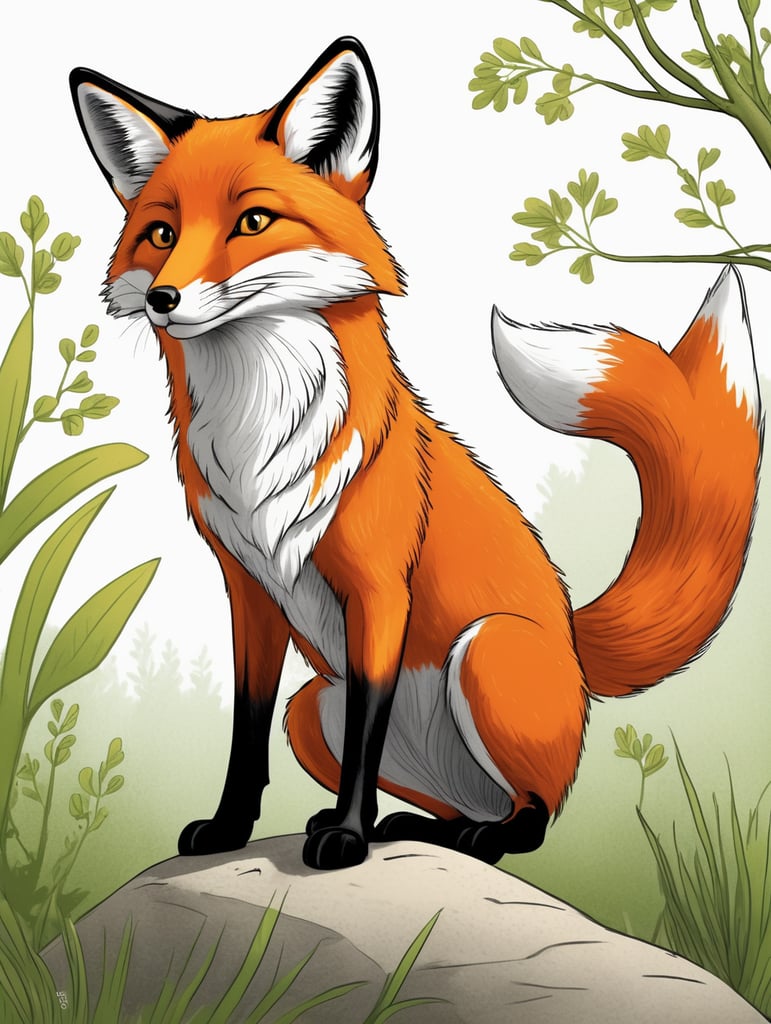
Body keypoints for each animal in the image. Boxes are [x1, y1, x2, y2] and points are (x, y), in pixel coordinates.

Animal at [69, 37, 761, 871]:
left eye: (253, 220)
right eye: (161, 234)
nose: (162, 300)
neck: (258, 429)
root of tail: (572, 642)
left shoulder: (378, 587)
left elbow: (369, 719)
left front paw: (344, 836)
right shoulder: (248, 592)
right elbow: (245, 729)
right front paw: (232, 828)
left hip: (485, 653)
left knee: (529, 818)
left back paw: (462, 833)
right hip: (313, 710)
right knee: (456, 806)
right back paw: (418, 827)